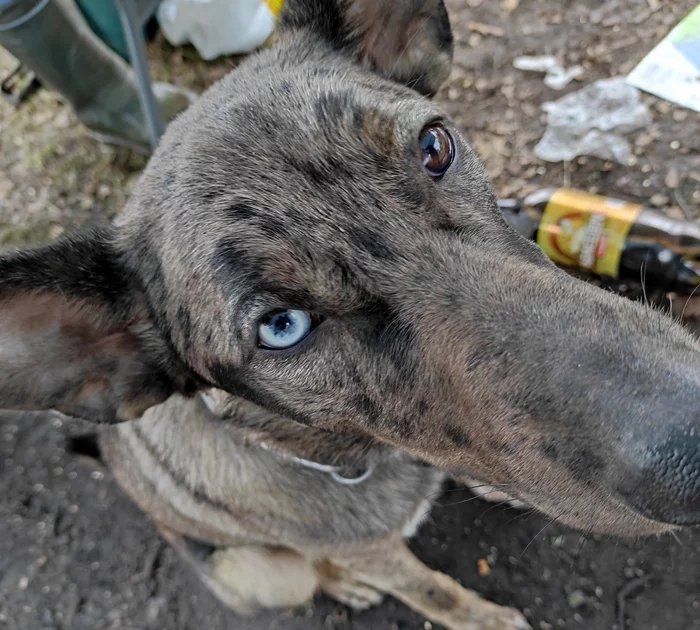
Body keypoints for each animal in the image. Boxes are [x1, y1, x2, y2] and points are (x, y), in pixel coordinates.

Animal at [1, 1, 700, 628]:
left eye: (434, 146)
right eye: (282, 327)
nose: (690, 446)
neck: (346, 456)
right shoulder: (375, 552)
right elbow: (433, 591)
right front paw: (484, 619)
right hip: (262, 571)